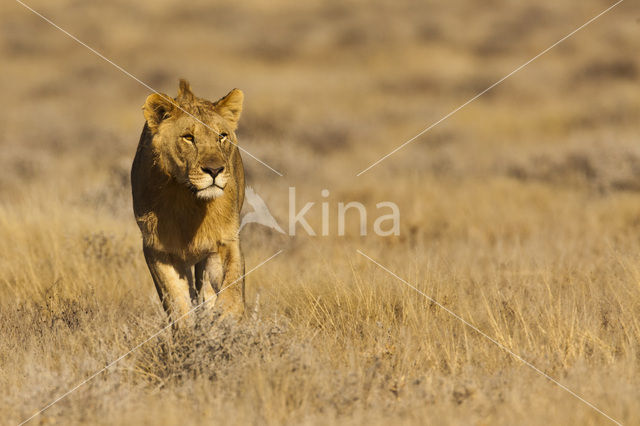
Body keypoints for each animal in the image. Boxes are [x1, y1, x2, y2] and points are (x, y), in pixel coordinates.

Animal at [132, 80, 245, 324]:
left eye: (222, 136)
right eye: (188, 137)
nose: (215, 170)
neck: (189, 201)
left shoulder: (225, 240)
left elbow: (232, 286)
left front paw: (225, 321)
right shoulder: (158, 249)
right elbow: (177, 301)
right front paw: (187, 330)